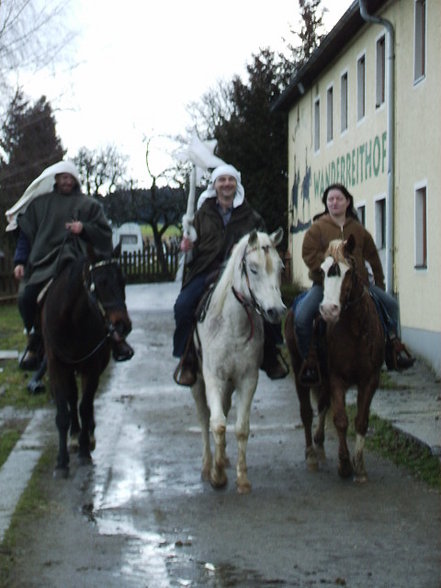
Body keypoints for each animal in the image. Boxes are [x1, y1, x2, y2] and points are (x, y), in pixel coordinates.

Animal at [41, 245, 131, 478]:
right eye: (100, 282)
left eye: (123, 280)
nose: (122, 325)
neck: (71, 320)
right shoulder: (56, 367)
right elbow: (64, 411)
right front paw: (62, 462)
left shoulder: (91, 366)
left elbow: (85, 405)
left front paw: (84, 451)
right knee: (73, 398)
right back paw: (74, 436)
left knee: (86, 403)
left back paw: (88, 436)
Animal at [191, 227, 284, 494]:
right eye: (253, 268)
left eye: (281, 268)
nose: (276, 311)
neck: (233, 326)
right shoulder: (212, 378)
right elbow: (217, 424)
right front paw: (217, 476)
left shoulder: (247, 380)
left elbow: (241, 428)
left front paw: (241, 479)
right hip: (198, 383)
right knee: (204, 418)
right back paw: (207, 465)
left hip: (229, 385)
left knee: (222, 410)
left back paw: (222, 459)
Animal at [284, 234, 384, 482]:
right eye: (322, 270)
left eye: (348, 271)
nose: (328, 310)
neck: (355, 330)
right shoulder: (337, 377)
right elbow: (340, 420)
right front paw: (345, 464)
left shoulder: (370, 379)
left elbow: (361, 421)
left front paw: (360, 467)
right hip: (301, 370)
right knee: (307, 412)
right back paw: (311, 454)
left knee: (322, 404)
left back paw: (320, 446)